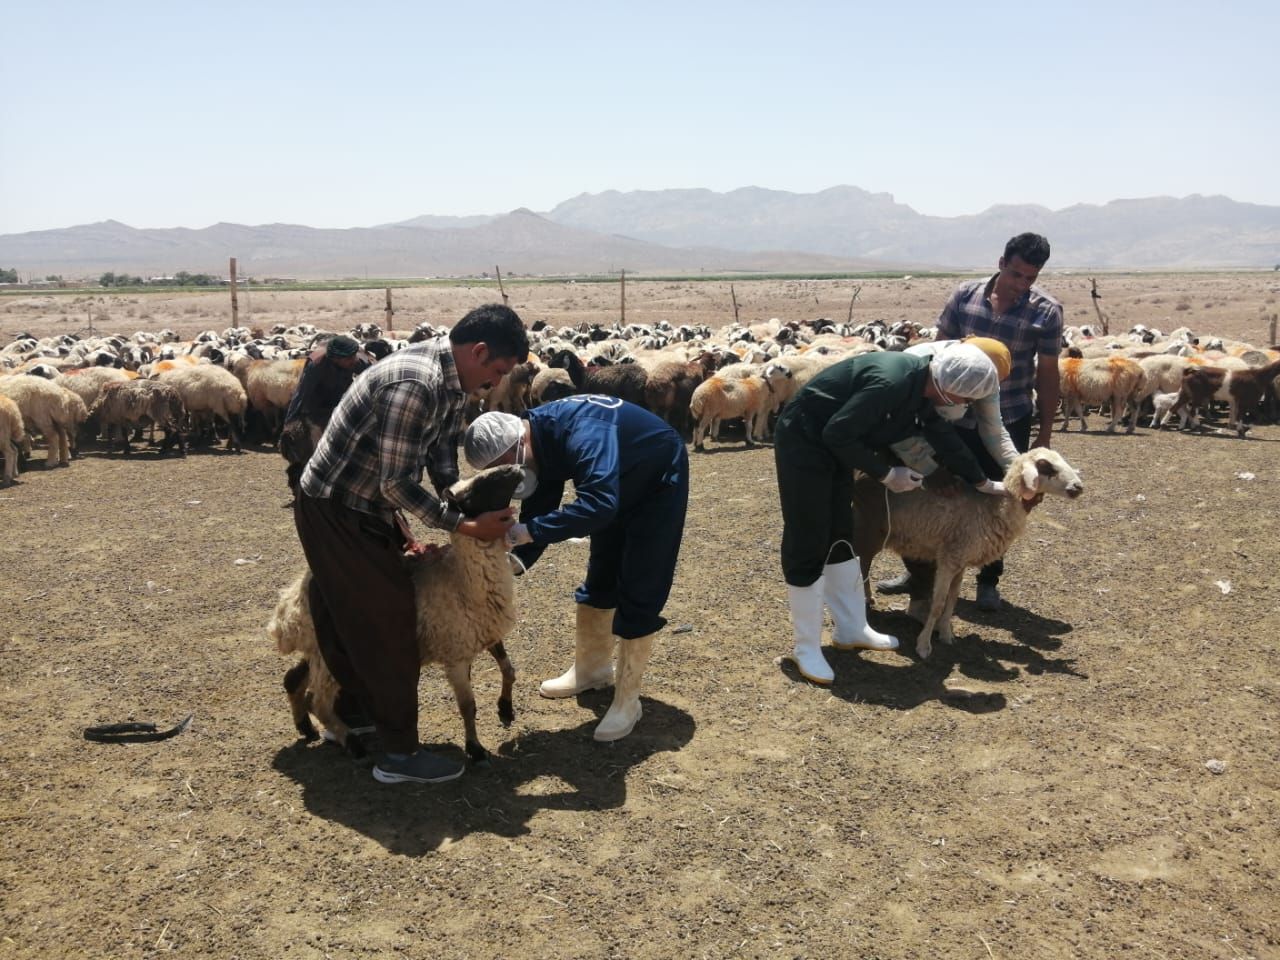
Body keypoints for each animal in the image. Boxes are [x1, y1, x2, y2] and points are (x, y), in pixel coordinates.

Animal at [855, 450, 1085, 660]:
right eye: (1046, 467)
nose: (1078, 487)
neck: (995, 508)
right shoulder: (949, 558)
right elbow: (938, 604)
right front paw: (923, 645)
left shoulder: (961, 561)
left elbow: (952, 599)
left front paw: (946, 635)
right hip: (866, 531)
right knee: (861, 564)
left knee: (864, 565)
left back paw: (868, 598)